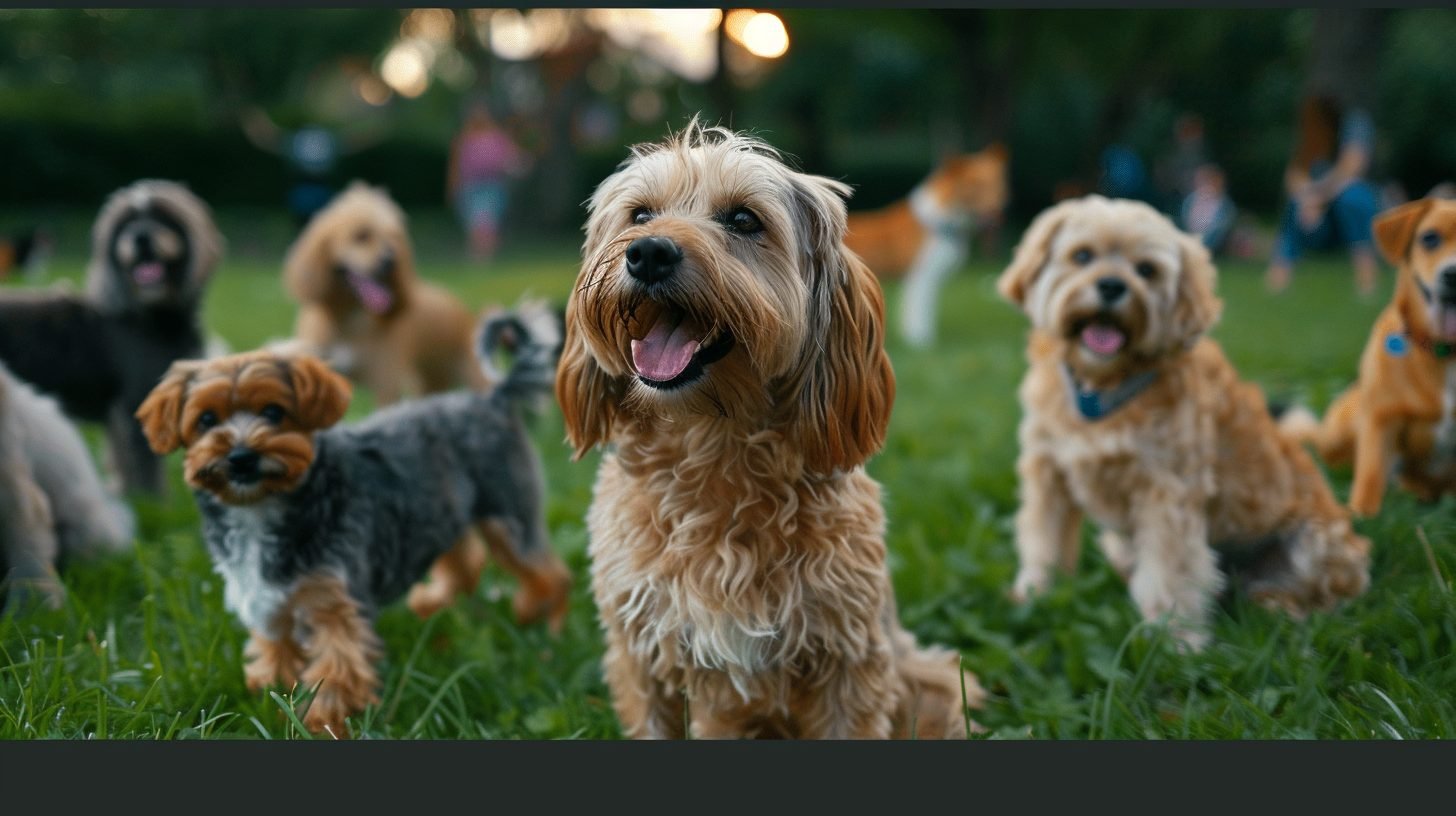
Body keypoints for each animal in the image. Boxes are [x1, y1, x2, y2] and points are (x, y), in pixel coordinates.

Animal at [133, 303, 570, 737]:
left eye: (274, 412)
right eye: (206, 419)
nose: (241, 457)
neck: (262, 509)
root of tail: (493, 399)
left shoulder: (336, 602)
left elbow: (337, 668)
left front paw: (321, 722)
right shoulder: (266, 605)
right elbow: (275, 662)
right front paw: (273, 706)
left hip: (508, 516)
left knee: (549, 572)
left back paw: (543, 624)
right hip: (438, 512)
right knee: (465, 563)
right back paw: (433, 604)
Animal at [278, 181, 489, 405]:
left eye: (394, 238)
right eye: (361, 235)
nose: (390, 261)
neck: (351, 318)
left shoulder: (386, 382)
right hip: (429, 382)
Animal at [556, 119, 978, 740]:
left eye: (743, 219)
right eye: (640, 214)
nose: (648, 253)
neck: (713, 443)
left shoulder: (848, 656)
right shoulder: (642, 653)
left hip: (934, 680)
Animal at [995, 193, 1368, 646]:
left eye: (1146, 270)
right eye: (1082, 255)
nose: (1112, 286)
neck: (1101, 385)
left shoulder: (1168, 491)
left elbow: (1172, 572)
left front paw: (1176, 640)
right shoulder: (1048, 472)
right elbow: (1042, 541)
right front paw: (1034, 595)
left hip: (1314, 544)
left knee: (1322, 597)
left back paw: (1282, 610)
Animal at [1281, 199, 1456, 512]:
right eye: (1430, 238)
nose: (1454, 274)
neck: (1445, 352)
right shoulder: (1380, 419)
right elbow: (1370, 477)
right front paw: (1361, 514)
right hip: (1340, 431)